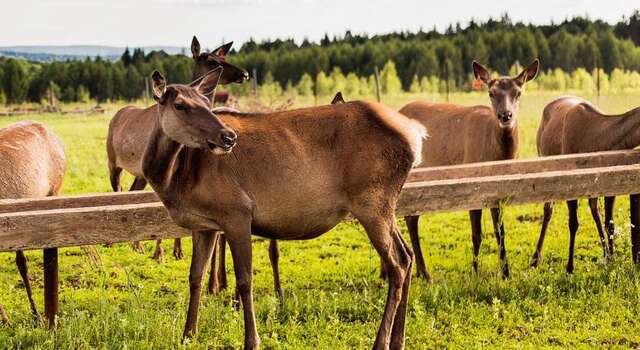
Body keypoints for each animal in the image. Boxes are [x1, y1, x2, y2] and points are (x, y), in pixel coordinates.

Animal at [105, 35, 248, 262]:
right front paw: (160, 252)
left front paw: (177, 250)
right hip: (113, 162)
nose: (244, 73)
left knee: (130, 192)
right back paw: (117, 242)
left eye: (224, 57)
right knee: (116, 191)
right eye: (212, 61)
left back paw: (137, 245)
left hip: (138, 174)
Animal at [139, 69, 428, 350]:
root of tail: (416, 135)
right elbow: (195, 277)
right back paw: (398, 340)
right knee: (407, 256)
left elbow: (245, 280)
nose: (228, 137)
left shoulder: (237, 212)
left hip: (372, 202)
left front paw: (252, 340)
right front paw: (188, 334)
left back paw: (381, 341)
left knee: (397, 264)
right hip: (384, 205)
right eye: (180, 105)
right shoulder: (205, 225)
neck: (176, 179)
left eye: (207, 103)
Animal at [400, 59, 540, 278]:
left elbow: (500, 231)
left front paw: (505, 272)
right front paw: (475, 272)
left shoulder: (500, 192)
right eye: (491, 92)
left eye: (518, 92)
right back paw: (421, 272)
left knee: (410, 218)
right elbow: (476, 234)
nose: (505, 115)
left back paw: (420, 272)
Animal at [528, 97, 640, 272]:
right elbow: (573, 223)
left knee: (594, 208)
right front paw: (570, 266)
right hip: (543, 157)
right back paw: (535, 258)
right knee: (548, 209)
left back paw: (605, 254)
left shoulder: (609, 185)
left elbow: (610, 224)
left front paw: (612, 259)